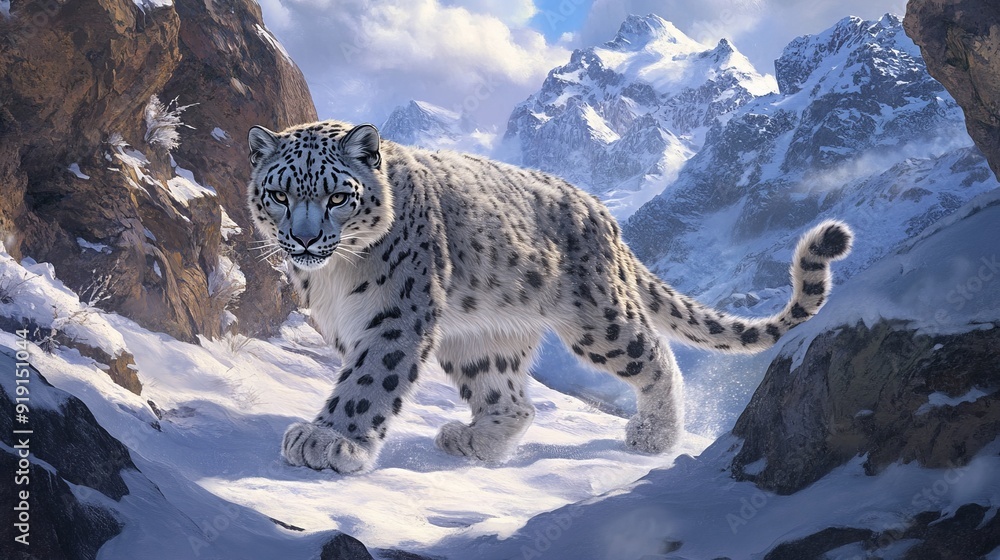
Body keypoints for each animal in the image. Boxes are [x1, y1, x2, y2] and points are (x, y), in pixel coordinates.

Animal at [245, 120, 853, 474]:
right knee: (511, 397)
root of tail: (601, 211)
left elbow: (370, 381)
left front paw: (330, 442)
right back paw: (476, 442)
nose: (304, 239)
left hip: (598, 319)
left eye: (337, 196)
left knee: (656, 355)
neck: (334, 274)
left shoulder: (396, 313)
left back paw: (655, 435)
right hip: (483, 331)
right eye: (279, 194)